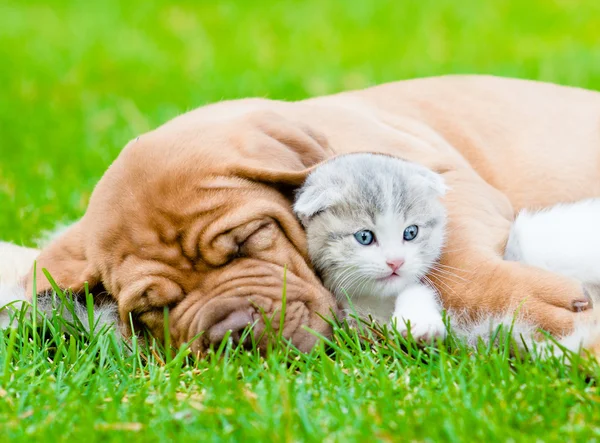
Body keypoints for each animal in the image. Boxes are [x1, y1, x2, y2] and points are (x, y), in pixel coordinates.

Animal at [292, 153, 448, 340]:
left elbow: (414, 288)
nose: (396, 262)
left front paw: (420, 323)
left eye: (411, 232)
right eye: (364, 237)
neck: (375, 301)